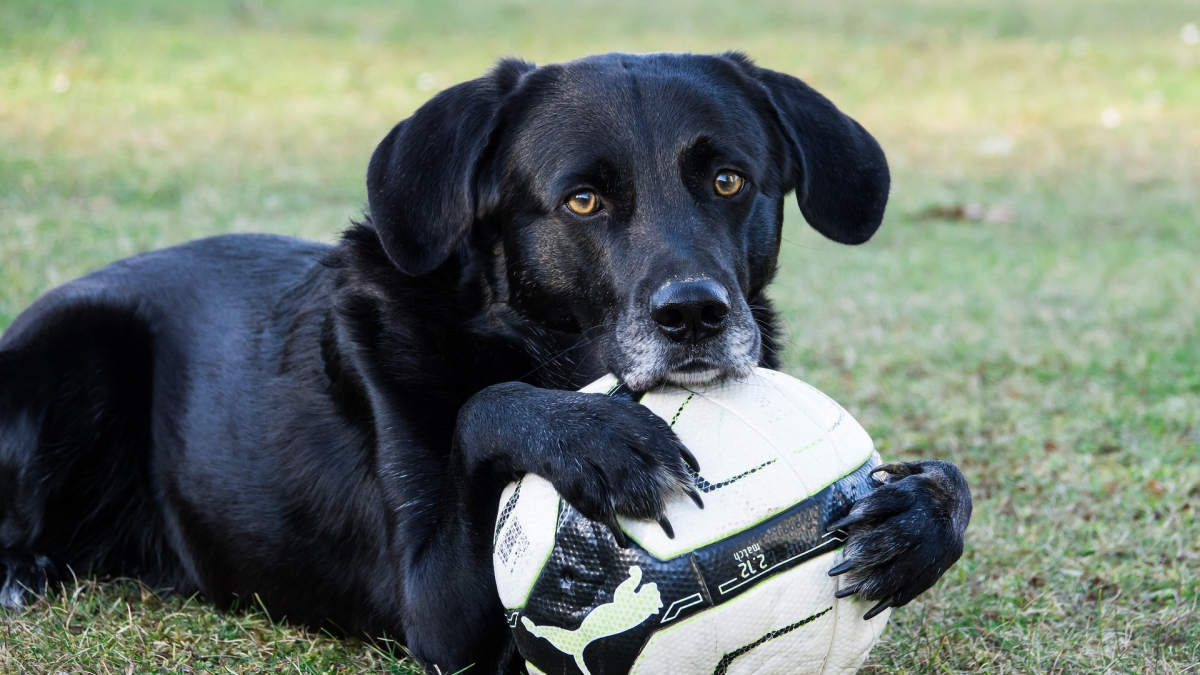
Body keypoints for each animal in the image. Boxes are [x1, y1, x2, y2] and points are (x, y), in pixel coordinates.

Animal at [0, 53, 964, 672]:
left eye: (729, 181)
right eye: (584, 199)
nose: (695, 314)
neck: (531, 344)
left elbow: (950, 481)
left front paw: (916, 517)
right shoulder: (441, 615)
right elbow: (480, 406)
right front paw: (598, 440)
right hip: (74, 349)